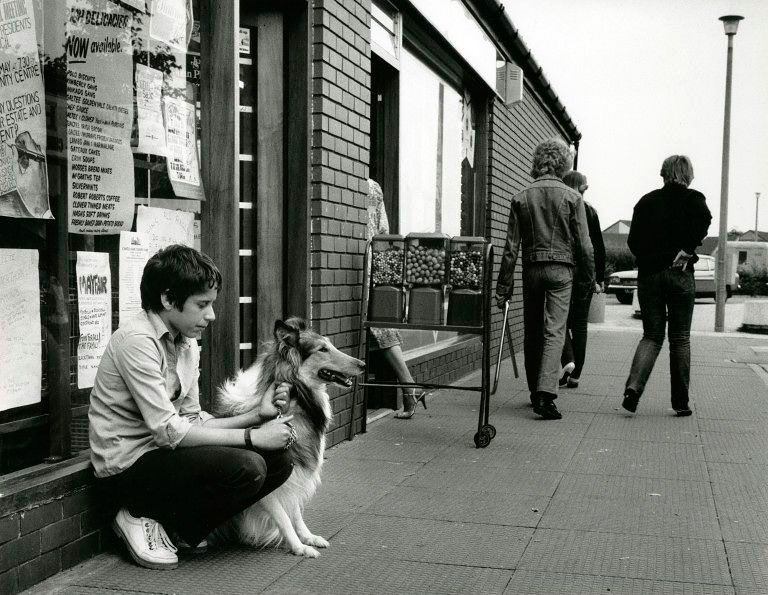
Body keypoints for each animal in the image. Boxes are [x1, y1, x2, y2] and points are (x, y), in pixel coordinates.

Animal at [210, 318, 366, 556]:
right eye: (322, 349)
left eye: (330, 345)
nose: (363, 364)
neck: (295, 399)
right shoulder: (272, 485)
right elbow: (283, 517)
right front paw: (299, 547)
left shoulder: (295, 473)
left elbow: (295, 511)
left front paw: (308, 537)